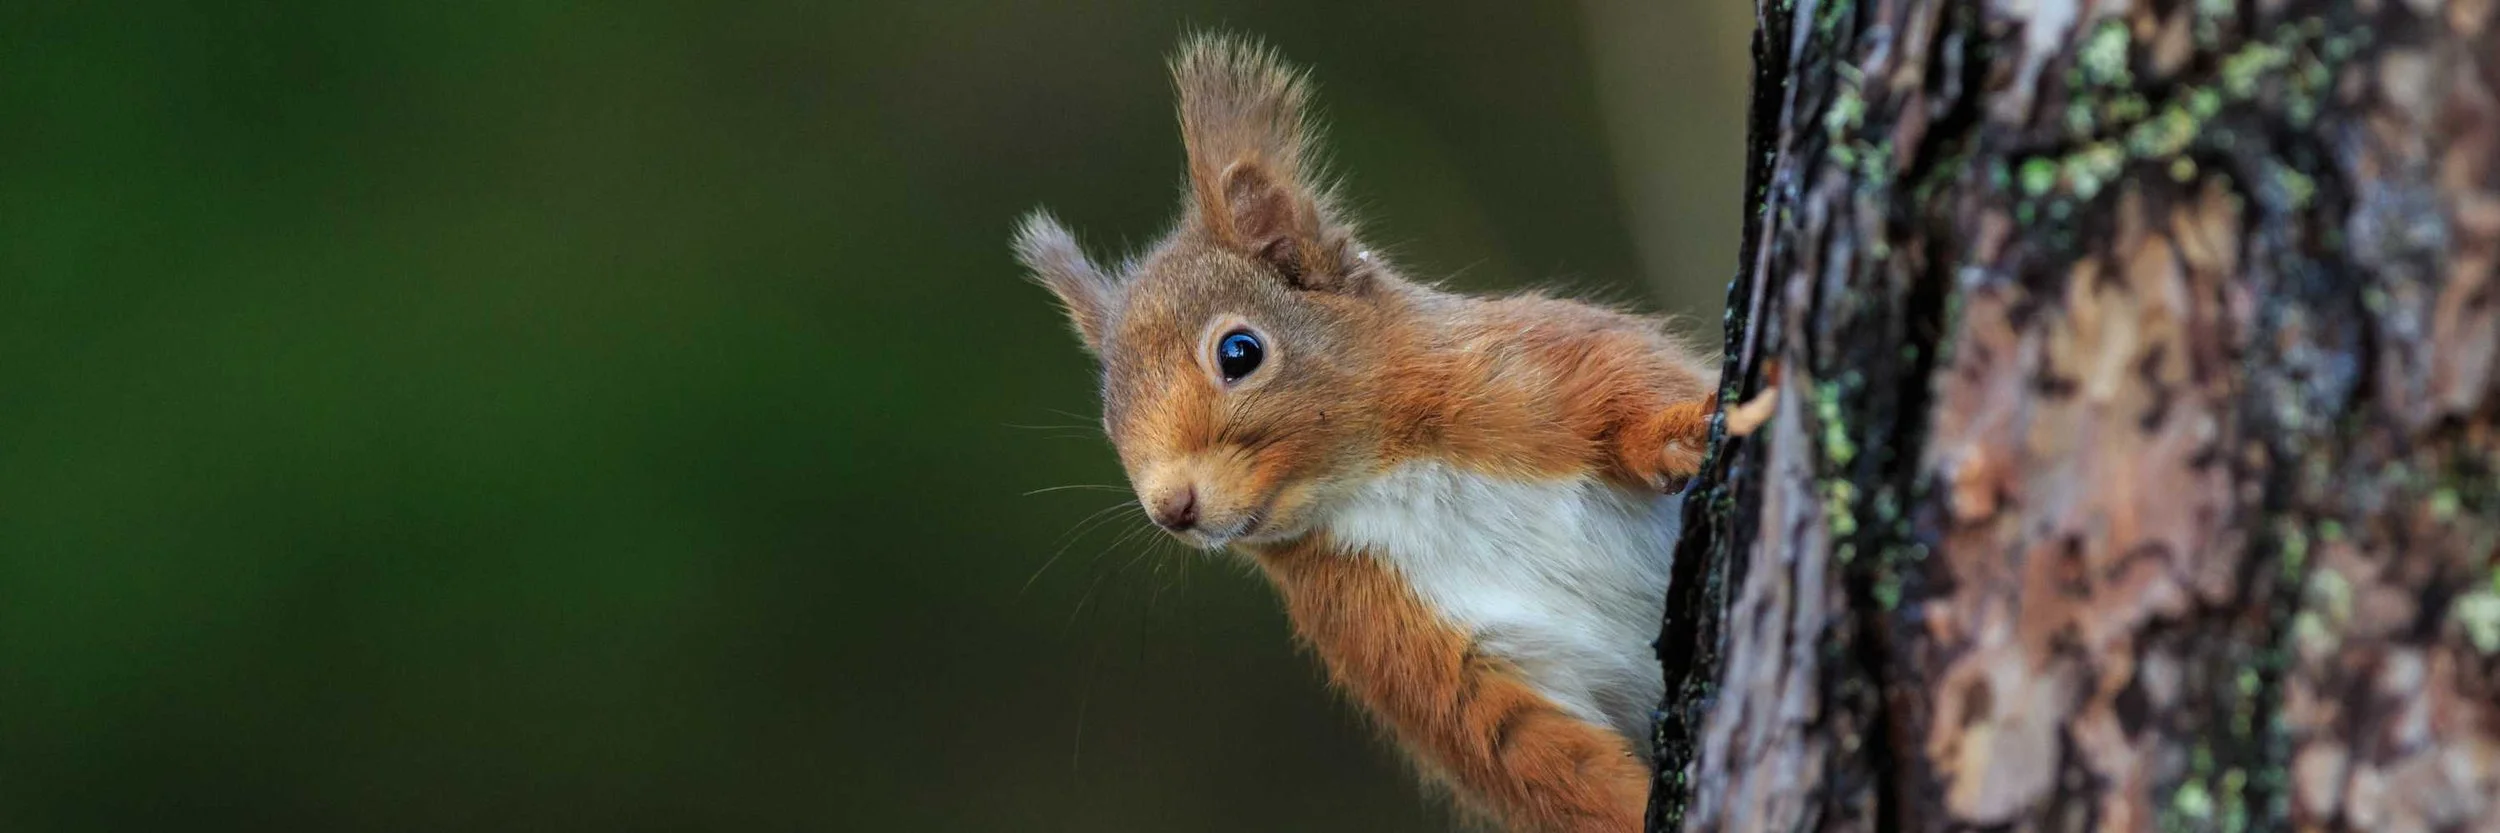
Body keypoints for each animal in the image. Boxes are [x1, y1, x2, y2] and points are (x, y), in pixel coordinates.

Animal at [1013, 35, 1717, 833]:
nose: (1172, 508)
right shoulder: (1393, 637)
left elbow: (1627, 388)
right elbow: (1532, 753)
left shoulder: (1535, 376)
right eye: (1109, 416)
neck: (1379, 481)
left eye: (1239, 352)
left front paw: (1683, 432)